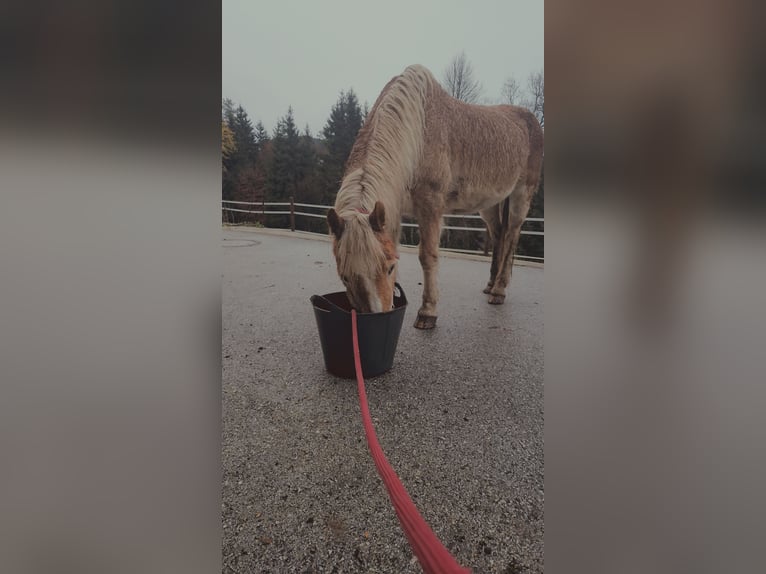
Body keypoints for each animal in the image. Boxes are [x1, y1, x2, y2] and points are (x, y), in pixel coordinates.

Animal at [326, 64, 543, 329]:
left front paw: (427, 312)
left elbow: (428, 256)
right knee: (499, 234)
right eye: (345, 277)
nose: (378, 317)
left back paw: (499, 291)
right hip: (490, 205)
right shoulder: (393, 211)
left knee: (511, 234)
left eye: (389, 268)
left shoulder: (430, 207)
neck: (417, 134)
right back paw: (491, 284)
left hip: (521, 194)